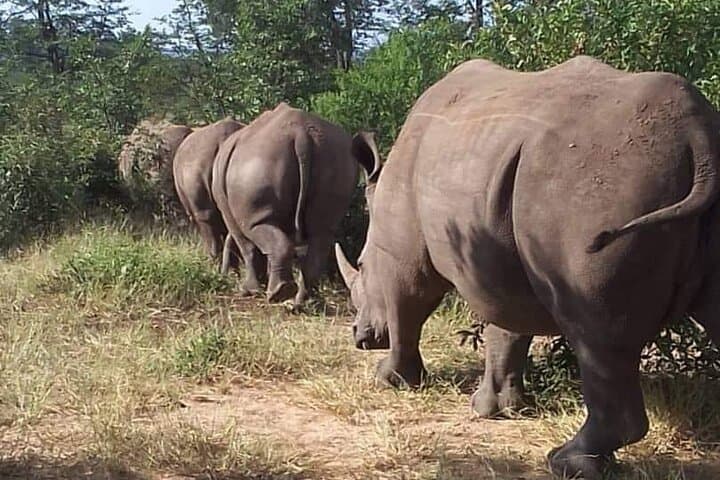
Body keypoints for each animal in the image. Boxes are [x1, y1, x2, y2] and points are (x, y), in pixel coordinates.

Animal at [212, 103, 377, 306]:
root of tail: (301, 135)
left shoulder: (230, 213)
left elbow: (247, 247)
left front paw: (249, 291)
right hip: (337, 156)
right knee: (321, 232)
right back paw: (303, 302)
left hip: (259, 160)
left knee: (257, 228)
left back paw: (278, 294)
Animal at [335, 56, 720, 479]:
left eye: (361, 265)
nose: (360, 337)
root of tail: (697, 134)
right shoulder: (496, 253)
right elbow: (507, 327)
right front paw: (495, 409)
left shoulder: (404, 254)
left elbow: (408, 305)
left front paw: (391, 380)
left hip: (598, 185)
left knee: (593, 330)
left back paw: (565, 462)